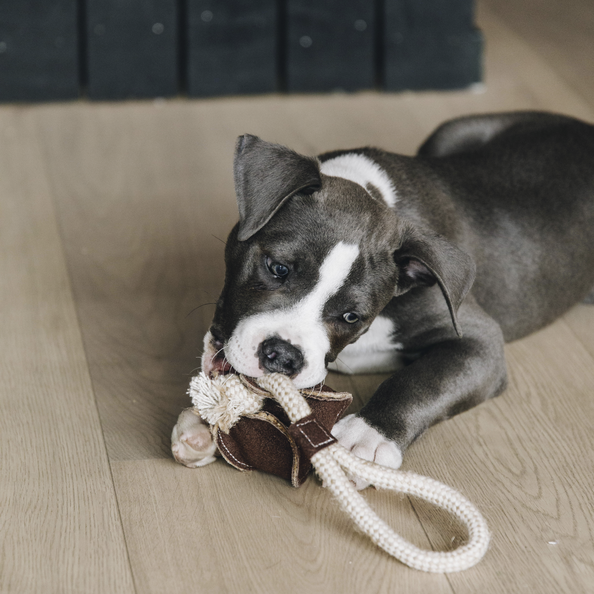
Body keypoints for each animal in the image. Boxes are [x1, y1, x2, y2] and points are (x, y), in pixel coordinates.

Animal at [170, 111, 592, 486]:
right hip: (448, 133)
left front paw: (366, 437)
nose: (284, 357)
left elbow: (421, 379)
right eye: (278, 268)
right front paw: (204, 420)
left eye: (352, 316)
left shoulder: (481, 341)